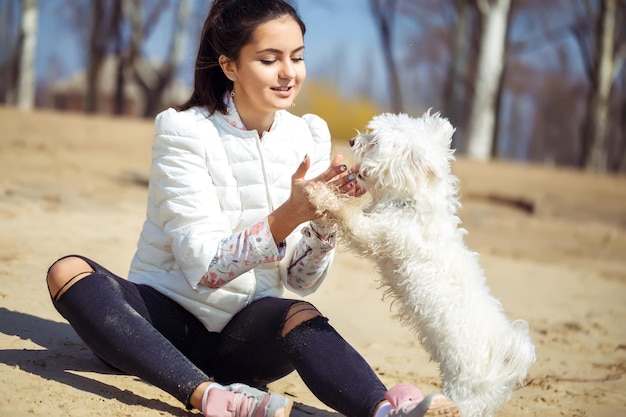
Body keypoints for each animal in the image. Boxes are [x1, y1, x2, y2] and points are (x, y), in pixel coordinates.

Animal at [304, 111, 532, 416]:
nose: (352, 140)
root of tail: (504, 364)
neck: (411, 203)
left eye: (374, 141)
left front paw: (322, 194)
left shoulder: (373, 233)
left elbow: (347, 213)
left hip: (464, 393)